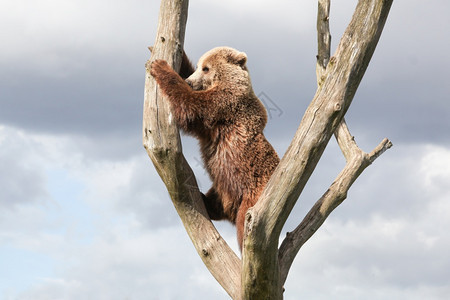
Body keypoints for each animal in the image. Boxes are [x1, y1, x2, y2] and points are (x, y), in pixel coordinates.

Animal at [149, 46, 280, 248]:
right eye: (199, 66)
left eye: (206, 68)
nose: (190, 80)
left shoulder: (222, 104)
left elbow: (191, 107)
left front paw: (160, 66)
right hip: (222, 188)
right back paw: (204, 200)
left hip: (251, 196)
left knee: (244, 228)